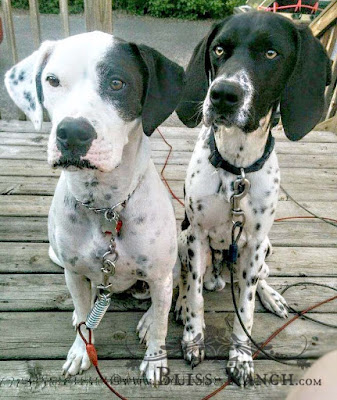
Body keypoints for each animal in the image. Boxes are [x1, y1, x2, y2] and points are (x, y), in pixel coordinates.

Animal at [4, 32, 184, 384]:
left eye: (117, 83)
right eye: (52, 80)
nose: (72, 133)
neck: (105, 205)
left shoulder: (159, 275)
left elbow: (160, 324)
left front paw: (155, 359)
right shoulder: (73, 272)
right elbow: (86, 321)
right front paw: (80, 351)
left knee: (158, 306)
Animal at [175, 11, 330, 384]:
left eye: (271, 54)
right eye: (219, 49)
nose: (222, 94)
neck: (237, 167)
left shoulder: (257, 241)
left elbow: (244, 309)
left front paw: (242, 357)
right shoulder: (196, 235)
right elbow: (195, 295)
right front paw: (193, 339)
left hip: (266, 248)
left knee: (260, 277)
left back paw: (272, 296)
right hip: (186, 240)